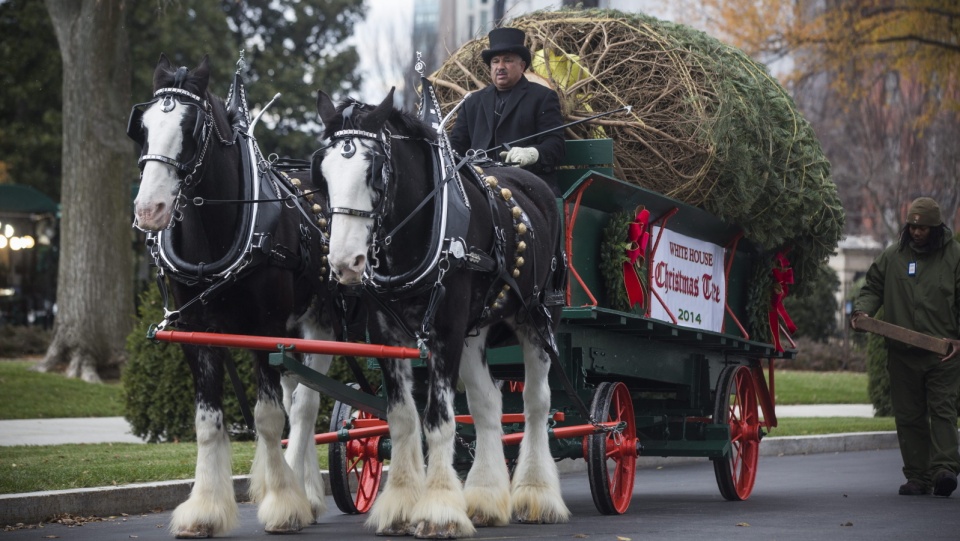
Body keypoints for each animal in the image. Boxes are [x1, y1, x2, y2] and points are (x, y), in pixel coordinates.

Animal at [129, 54, 336, 536]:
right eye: (142, 127)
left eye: (190, 129)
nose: (149, 210)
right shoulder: (198, 333)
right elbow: (208, 422)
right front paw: (204, 509)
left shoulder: (264, 330)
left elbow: (268, 417)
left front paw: (283, 503)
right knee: (298, 393)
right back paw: (309, 493)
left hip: (322, 323)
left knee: (305, 405)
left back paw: (301, 492)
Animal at [316, 88, 568, 536]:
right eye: (323, 173)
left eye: (375, 171)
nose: (345, 262)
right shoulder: (390, 337)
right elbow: (402, 418)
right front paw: (400, 505)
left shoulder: (446, 332)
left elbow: (438, 420)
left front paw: (438, 510)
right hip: (476, 332)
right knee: (488, 403)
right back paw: (485, 498)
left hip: (537, 318)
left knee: (537, 404)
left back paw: (537, 495)